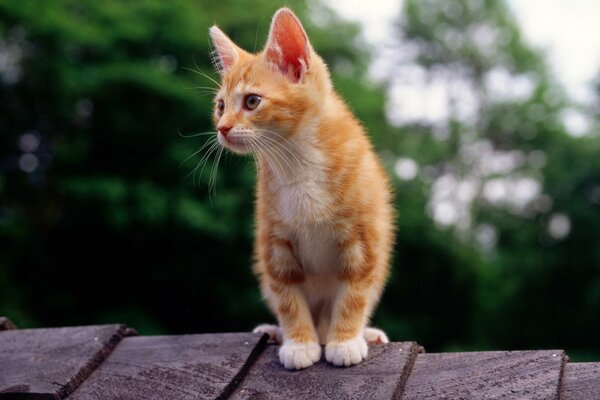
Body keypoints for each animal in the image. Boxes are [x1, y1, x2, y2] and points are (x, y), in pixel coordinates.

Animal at [210, 7, 394, 370]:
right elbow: (287, 296)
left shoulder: (365, 241)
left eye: (252, 101)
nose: (222, 128)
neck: (297, 161)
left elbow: (355, 293)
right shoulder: (274, 243)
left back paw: (361, 334)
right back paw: (277, 332)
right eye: (221, 106)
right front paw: (299, 343)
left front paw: (345, 340)